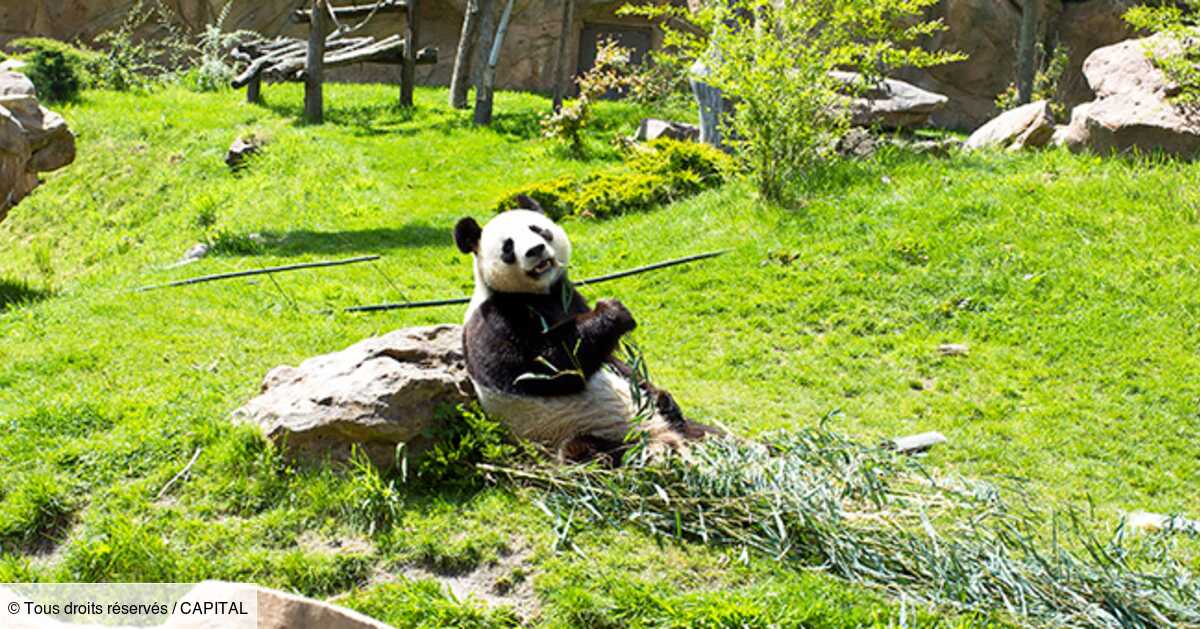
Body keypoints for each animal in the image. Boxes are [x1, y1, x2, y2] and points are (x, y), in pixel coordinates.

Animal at [451, 199, 710, 458]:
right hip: (582, 432)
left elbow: (612, 361)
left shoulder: (569, 298)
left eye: (537, 229)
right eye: (508, 247)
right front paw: (613, 311)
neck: (537, 294)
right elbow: (545, 368)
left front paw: (661, 394)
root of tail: (663, 437)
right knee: (584, 449)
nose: (535, 250)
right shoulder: (495, 319)